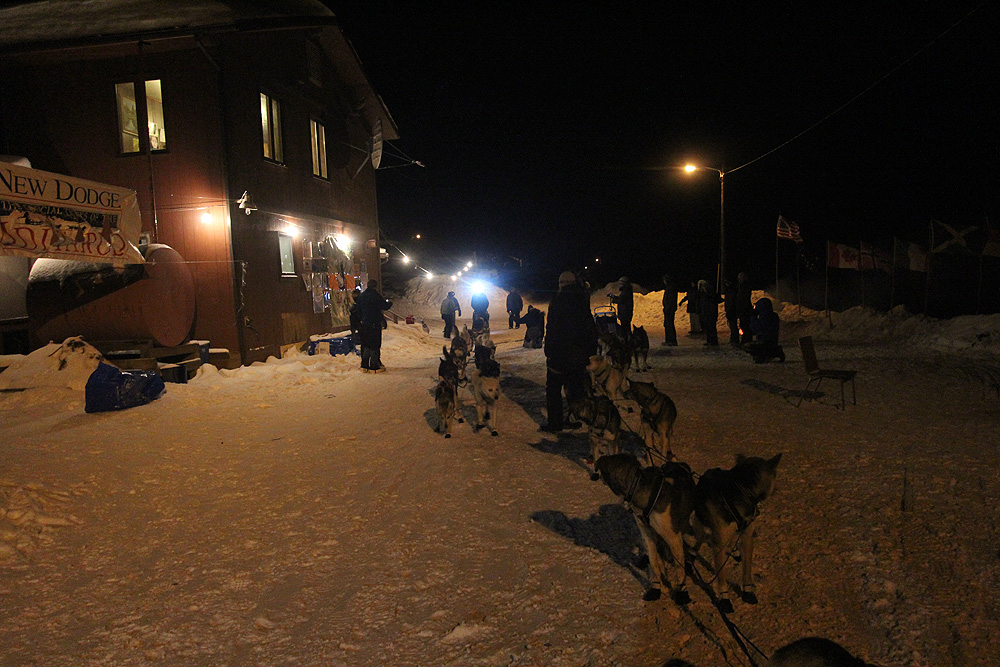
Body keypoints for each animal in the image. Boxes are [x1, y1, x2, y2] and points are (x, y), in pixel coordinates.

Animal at [596, 453, 696, 603]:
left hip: (688, 533)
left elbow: (679, 568)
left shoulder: (674, 538)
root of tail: (680, 464)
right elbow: (654, 562)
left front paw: (680, 590)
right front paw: (657, 586)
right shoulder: (647, 534)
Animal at [691, 453, 782, 613]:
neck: (741, 492)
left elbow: (747, 569)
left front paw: (747, 591)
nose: (777, 489)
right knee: (699, 540)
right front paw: (724, 599)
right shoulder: (718, 544)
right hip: (701, 527)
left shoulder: (747, 538)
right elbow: (721, 576)